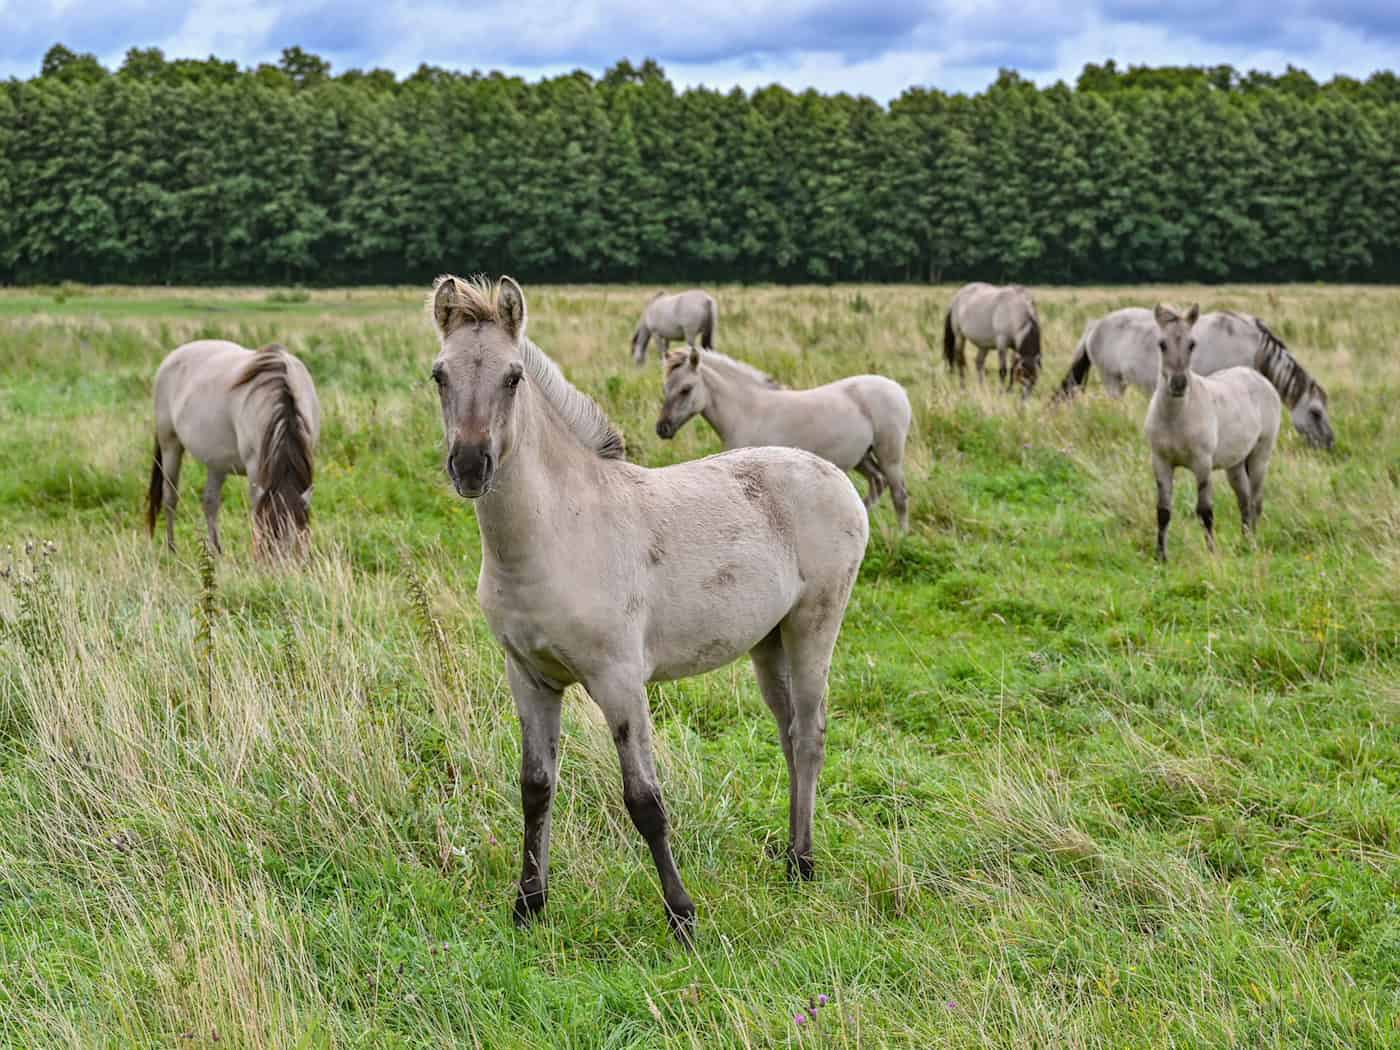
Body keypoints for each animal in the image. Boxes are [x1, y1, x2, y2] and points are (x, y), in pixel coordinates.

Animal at [148, 340, 320, 558]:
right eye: (268, 544)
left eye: (298, 543)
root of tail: (172, 357)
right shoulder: (255, 470)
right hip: (170, 445)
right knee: (170, 497)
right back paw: (172, 550)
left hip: (216, 461)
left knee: (210, 502)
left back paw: (217, 553)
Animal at [429, 275, 867, 944]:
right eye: (439, 375)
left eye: (513, 377)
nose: (471, 466)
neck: (559, 534)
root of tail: (836, 478)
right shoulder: (529, 677)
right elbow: (535, 787)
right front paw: (529, 903)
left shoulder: (619, 681)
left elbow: (644, 801)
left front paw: (682, 914)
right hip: (767, 643)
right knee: (789, 731)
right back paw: (791, 857)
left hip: (814, 624)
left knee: (810, 733)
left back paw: (804, 863)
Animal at [655, 347, 913, 531]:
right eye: (665, 388)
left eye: (686, 389)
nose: (662, 429)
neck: (748, 411)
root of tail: (897, 389)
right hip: (863, 457)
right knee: (877, 483)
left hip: (889, 456)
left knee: (899, 495)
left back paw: (901, 537)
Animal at [1144, 304, 1281, 563]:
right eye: (1161, 344)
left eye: (1192, 344)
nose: (1178, 384)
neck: (1176, 417)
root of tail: (1258, 377)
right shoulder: (1161, 462)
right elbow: (1163, 511)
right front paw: (1160, 557)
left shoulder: (1202, 464)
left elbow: (1205, 511)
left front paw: (1211, 554)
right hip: (1235, 464)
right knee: (1244, 500)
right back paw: (1243, 543)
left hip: (1261, 455)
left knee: (1256, 501)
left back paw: (1253, 544)